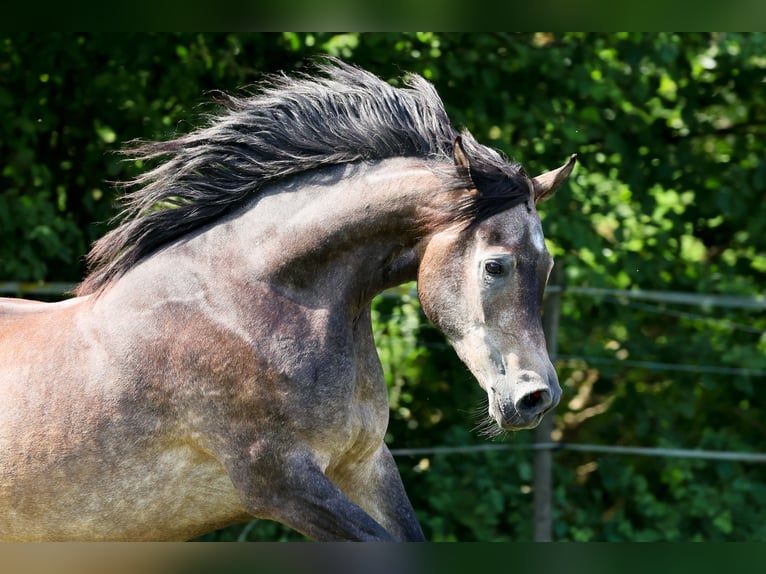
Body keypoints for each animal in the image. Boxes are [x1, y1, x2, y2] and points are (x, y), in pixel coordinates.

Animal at [0, 60, 574, 541]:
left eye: (547, 267)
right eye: (495, 266)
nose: (537, 398)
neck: (246, 308)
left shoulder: (365, 464)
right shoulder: (280, 483)